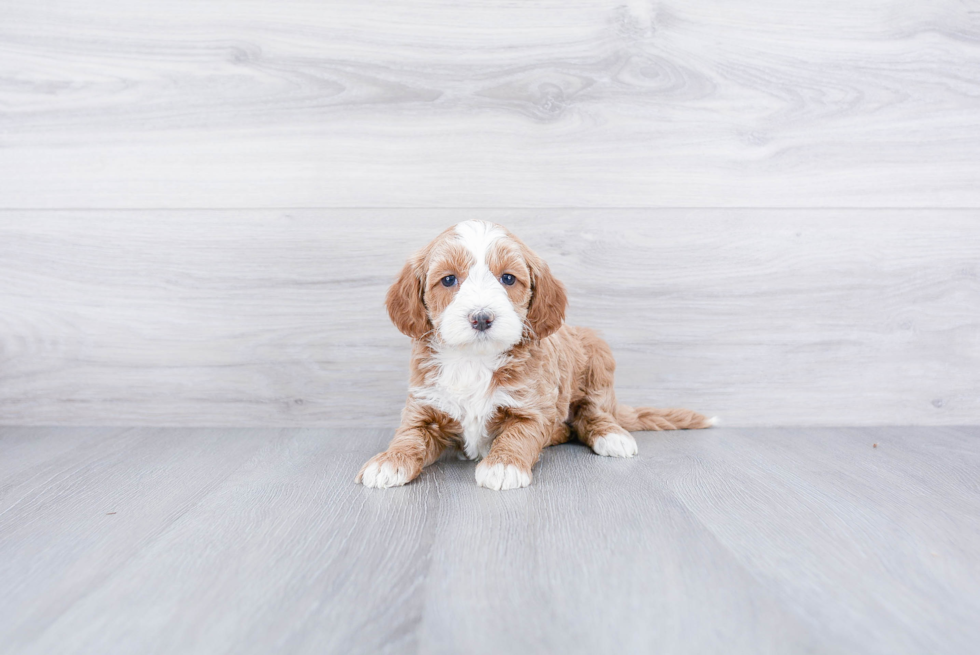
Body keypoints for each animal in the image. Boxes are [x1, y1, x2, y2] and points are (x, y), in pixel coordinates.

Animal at [356, 222, 708, 492]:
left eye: (508, 278)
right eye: (449, 280)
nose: (481, 318)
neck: (474, 360)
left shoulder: (530, 408)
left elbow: (518, 435)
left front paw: (503, 466)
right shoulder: (424, 406)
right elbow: (408, 437)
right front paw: (388, 462)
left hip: (597, 355)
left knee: (592, 412)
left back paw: (612, 436)